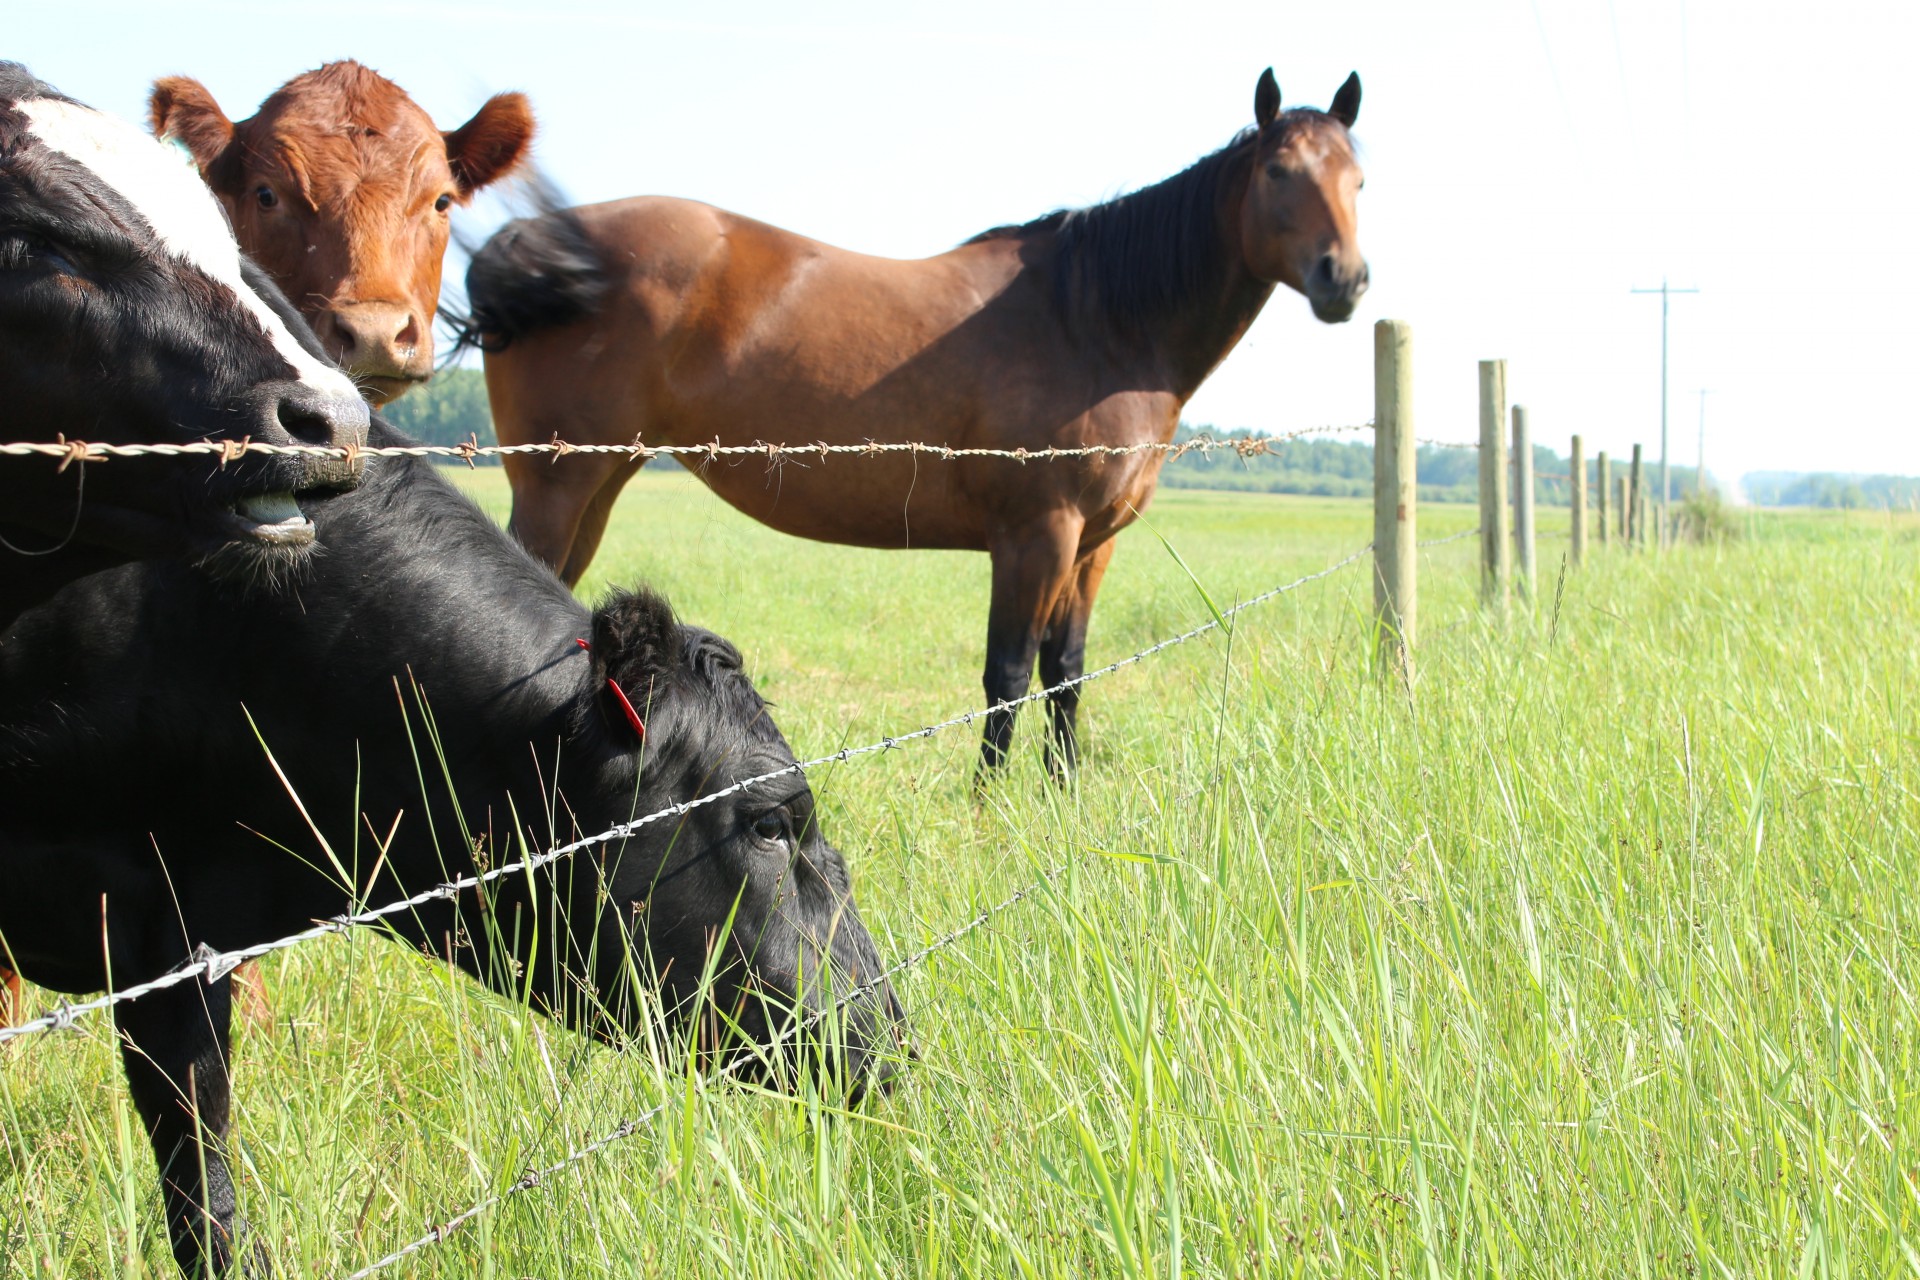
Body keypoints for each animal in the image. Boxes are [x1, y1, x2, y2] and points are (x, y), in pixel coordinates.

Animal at [464, 70, 1367, 782]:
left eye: (1359, 178)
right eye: (1279, 170)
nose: (1345, 280)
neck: (1095, 319)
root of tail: (536, 246)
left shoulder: (1093, 545)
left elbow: (1067, 671)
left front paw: (1064, 791)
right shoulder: (1037, 535)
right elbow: (1009, 673)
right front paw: (991, 802)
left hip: (600, 484)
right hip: (557, 488)